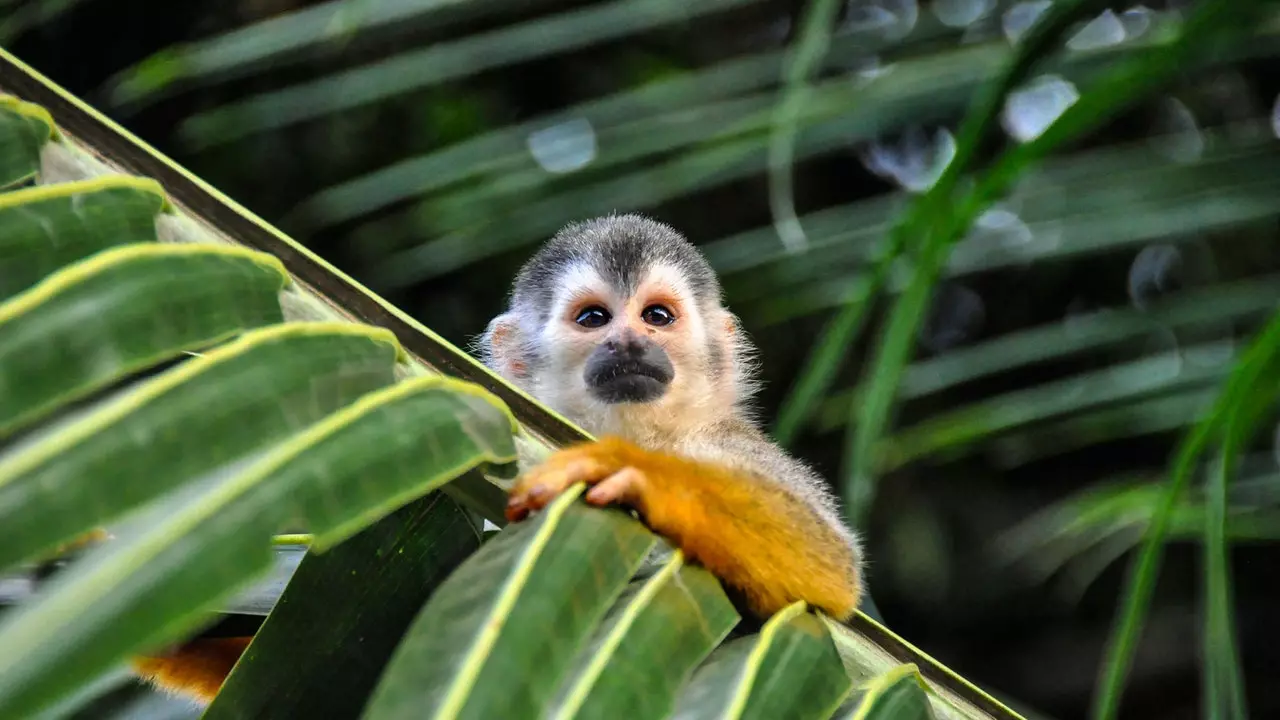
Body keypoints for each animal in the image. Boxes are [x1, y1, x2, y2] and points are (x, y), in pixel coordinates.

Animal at [127, 211, 860, 702]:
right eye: (595, 319)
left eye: (657, 317)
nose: (628, 343)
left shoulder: (726, 443)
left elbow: (830, 570)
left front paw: (637, 475)